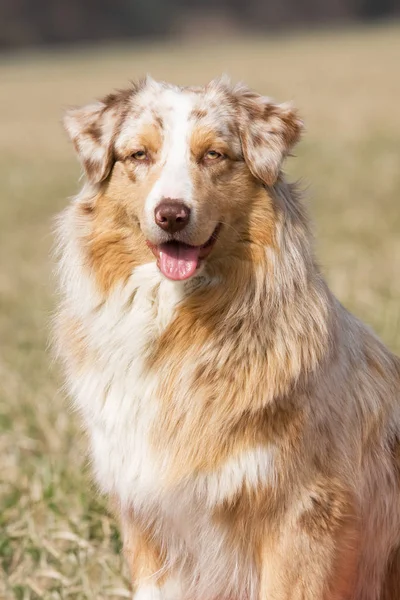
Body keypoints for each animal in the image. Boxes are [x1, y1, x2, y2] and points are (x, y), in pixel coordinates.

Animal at [55, 77, 400, 596]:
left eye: (214, 155)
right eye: (139, 155)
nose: (171, 214)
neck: (178, 325)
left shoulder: (305, 513)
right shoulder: (148, 516)